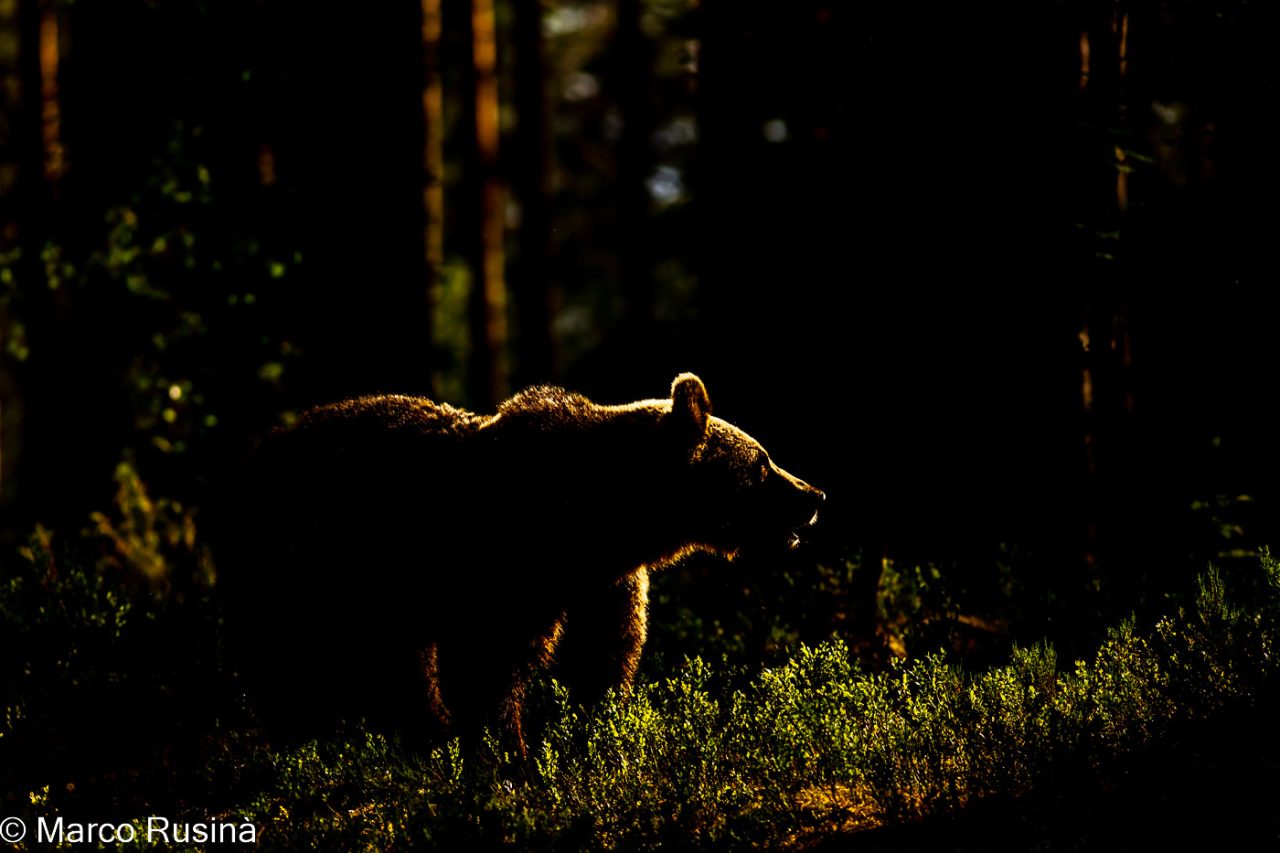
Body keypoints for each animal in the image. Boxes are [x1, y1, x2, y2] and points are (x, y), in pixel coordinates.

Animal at [218, 371, 819, 753]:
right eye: (762, 461)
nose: (814, 496)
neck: (602, 519)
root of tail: (260, 450)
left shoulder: (605, 581)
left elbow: (606, 654)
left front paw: (599, 731)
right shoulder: (511, 566)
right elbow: (495, 664)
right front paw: (511, 755)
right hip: (308, 563)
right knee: (295, 659)